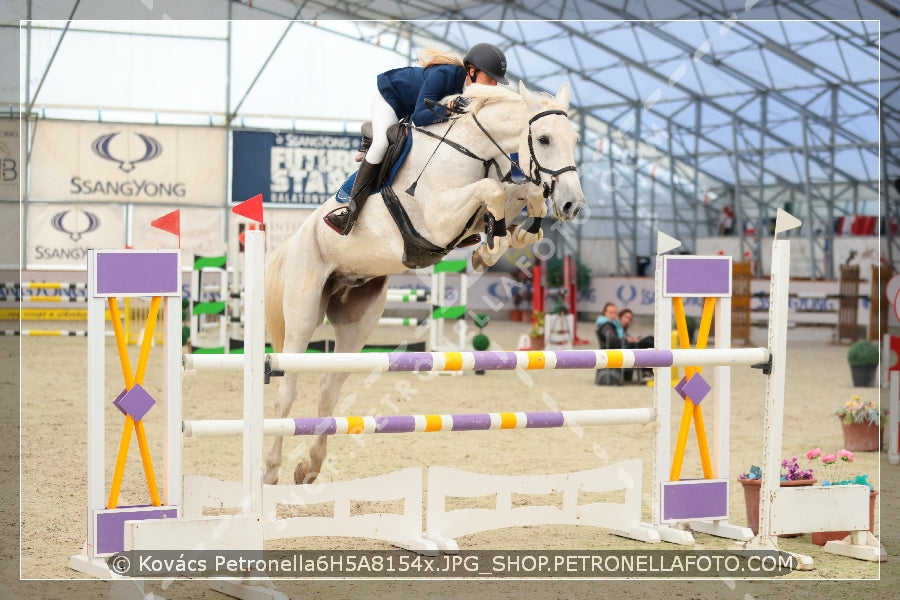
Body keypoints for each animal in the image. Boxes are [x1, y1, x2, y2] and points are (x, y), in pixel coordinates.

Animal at [262, 81, 584, 482]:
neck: (472, 148)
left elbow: (524, 196)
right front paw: (496, 236)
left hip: (357, 323)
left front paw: (500, 243)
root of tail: (293, 241)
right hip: (303, 311)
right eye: (543, 139)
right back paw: (271, 471)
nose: (573, 204)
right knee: (286, 389)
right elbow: (493, 192)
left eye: (574, 139)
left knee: (328, 388)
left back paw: (309, 466)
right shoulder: (438, 221)